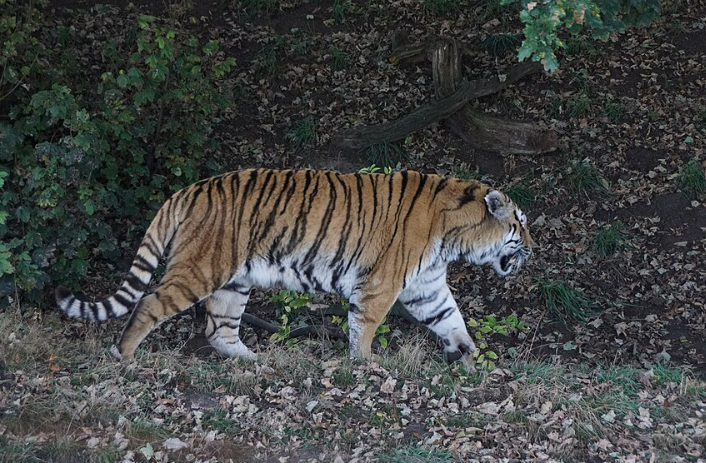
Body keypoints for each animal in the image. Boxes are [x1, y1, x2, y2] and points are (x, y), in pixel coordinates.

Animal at [56, 168, 534, 364]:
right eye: (520, 223)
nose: (534, 247)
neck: (453, 237)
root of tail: (189, 189)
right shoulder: (380, 284)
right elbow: (364, 327)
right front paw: (364, 366)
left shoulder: (427, 286)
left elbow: (452, 319)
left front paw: (469, 357)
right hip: (201, 268)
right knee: (151, 303)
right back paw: (123, 356)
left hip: (234, 281)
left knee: (219, 329)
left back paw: (255, 362)